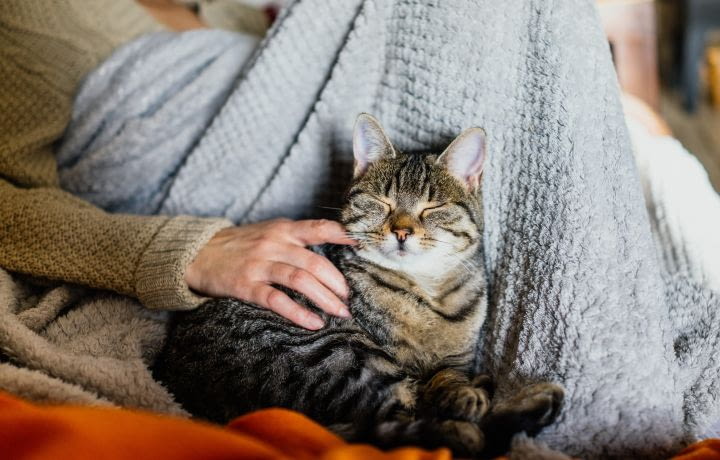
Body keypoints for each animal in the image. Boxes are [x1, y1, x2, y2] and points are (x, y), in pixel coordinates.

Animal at [155, 112, 564, 456]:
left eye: (431, 208)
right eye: (382, 202)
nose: (401, 231)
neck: (428, 291)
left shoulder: (457, 358)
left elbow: (448, 375)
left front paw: (462, 388)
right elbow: (432, 392)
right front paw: (466, 398)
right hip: (338, 353)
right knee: (404, 423)